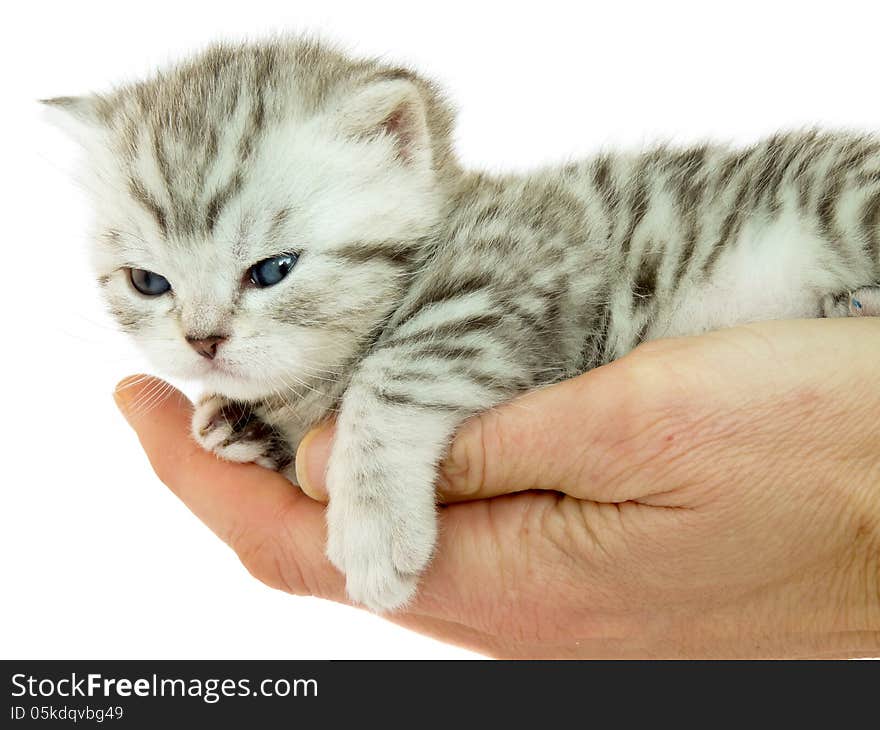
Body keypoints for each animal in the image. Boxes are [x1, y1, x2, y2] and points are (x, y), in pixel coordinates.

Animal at [48, 37, 880, 612]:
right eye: (149, 282)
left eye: (274, 270)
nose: (203, 340)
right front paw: (245, 424)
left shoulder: (530, 258)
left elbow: (398, 367)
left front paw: (374, 521)